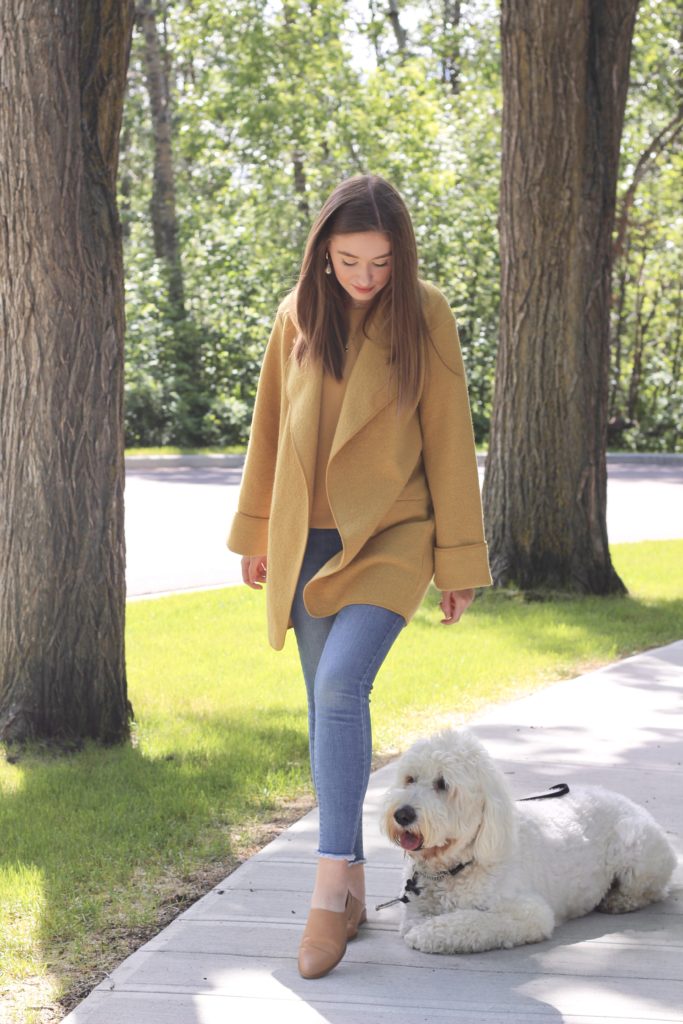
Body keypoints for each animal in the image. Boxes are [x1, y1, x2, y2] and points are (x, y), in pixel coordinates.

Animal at [378, 729, 679, 950]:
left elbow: (471, 921)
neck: (461, 863)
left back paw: (619, 900)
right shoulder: (416, 904)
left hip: (633, 845)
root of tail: (632, 805)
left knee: (651, 891)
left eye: (443, 784)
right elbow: (413, 919)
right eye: (410, 778)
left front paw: (428, 933)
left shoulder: (529, 913)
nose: (402, 814)